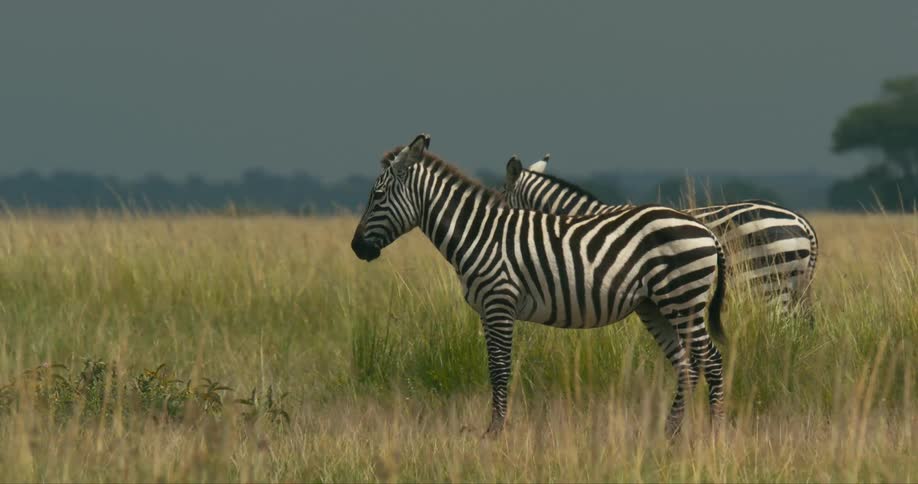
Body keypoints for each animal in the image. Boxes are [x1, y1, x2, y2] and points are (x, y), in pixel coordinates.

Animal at [351, 134, 730, 436]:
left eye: (377, 195)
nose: (356, 248)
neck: (479, 234)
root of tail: (704, 229)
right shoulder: (488, 310)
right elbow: (496, 368)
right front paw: (495, 429)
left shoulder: (499, 303)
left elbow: (499, 369)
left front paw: (494, 433)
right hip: (656, 307)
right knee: (686, 365)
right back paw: (669, 434)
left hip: (682, 299)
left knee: (710, 360)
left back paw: (714, 435)